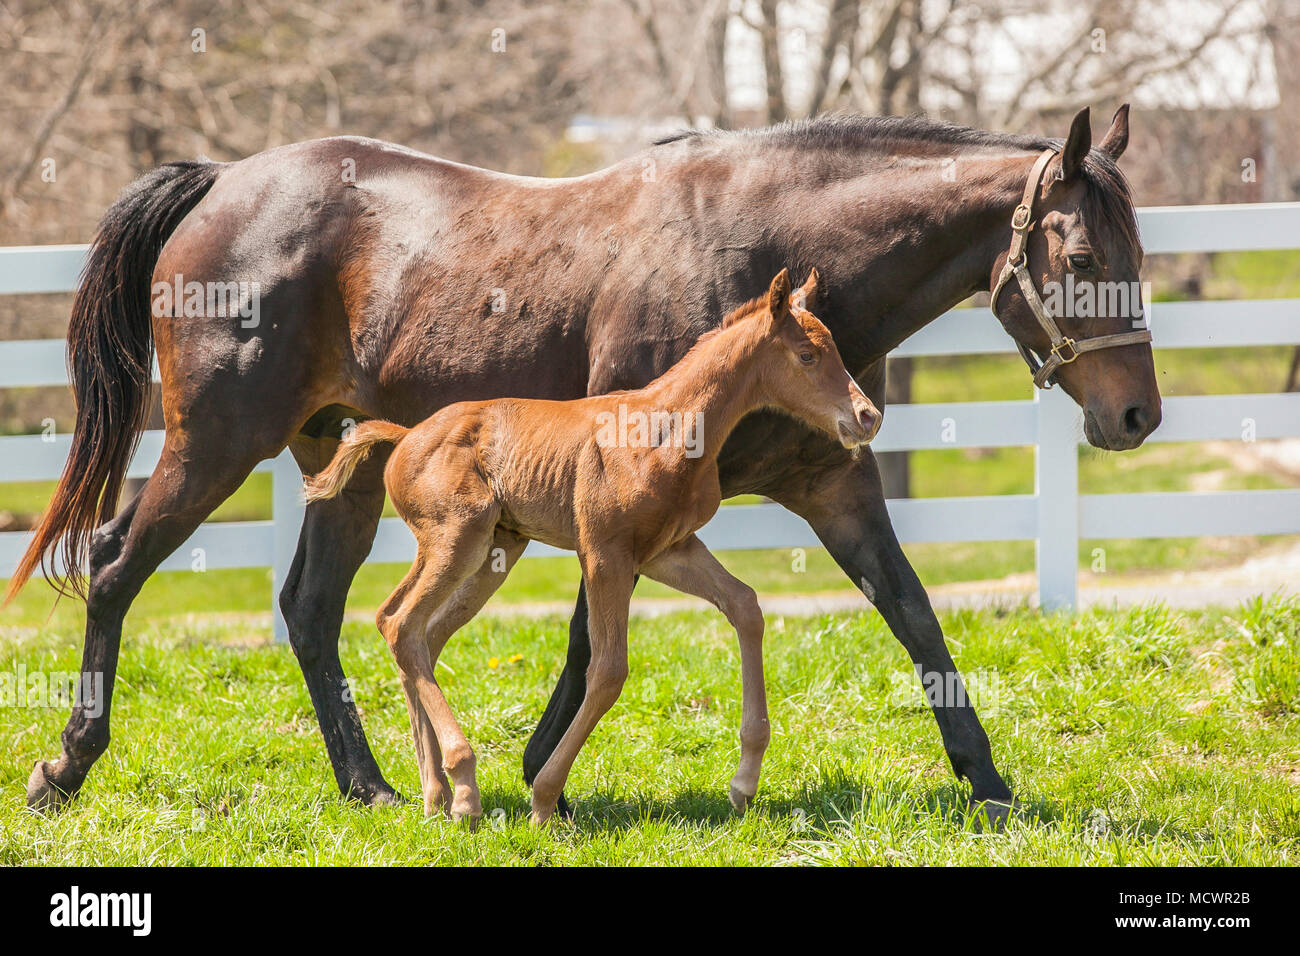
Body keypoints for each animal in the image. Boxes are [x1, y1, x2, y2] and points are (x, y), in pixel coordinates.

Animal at [304, 267, 878, 822]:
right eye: (807, 355)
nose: (867, 417)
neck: (668, 429)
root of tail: (404, 437)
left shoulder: (669, 550)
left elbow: (746, 606)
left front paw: (744, 783)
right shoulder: (603, 554)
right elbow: (607, 671)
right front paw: (544, 799)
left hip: (495, 552)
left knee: (421, 632)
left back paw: (436, 794)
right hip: (455, 538)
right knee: (400, 624)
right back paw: (464, 790)